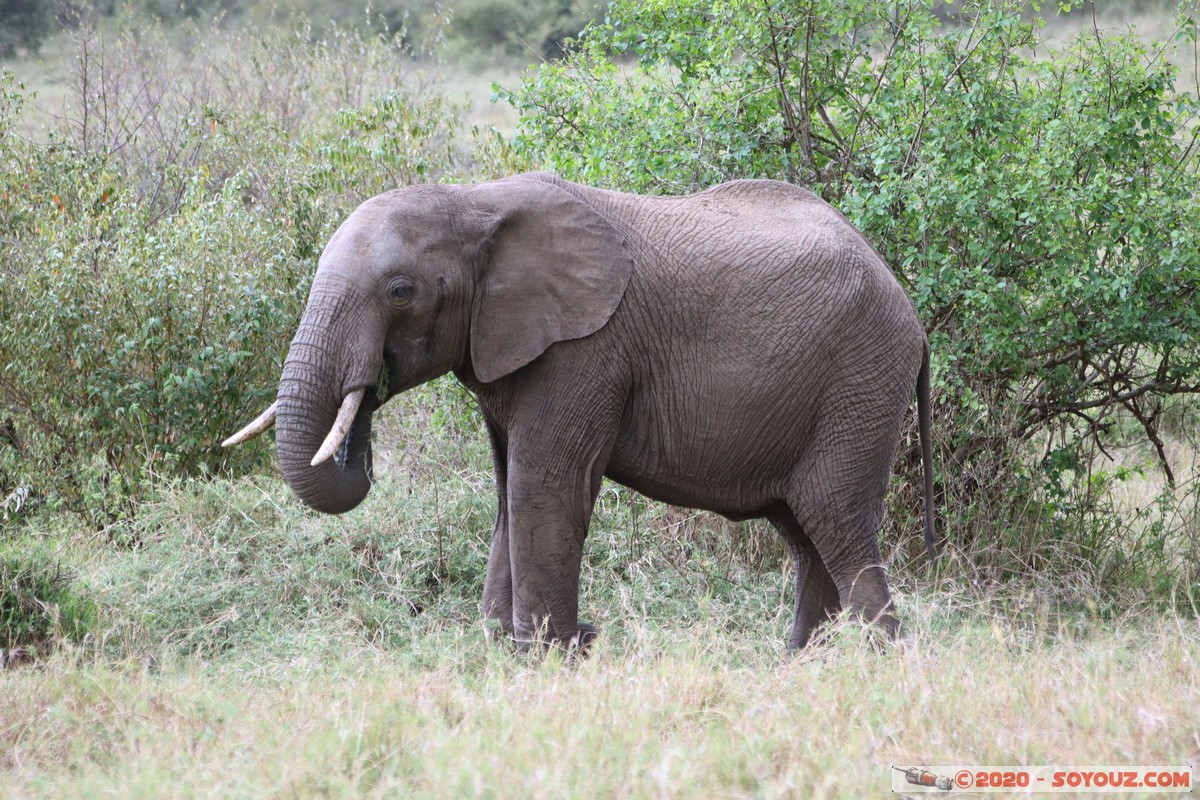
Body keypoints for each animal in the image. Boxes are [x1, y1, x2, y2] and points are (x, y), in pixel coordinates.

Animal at [226, 170, 936, 652]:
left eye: (401, 291)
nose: (367, 385)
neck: (473, 200)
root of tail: (911, 310)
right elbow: (509, 492)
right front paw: (504, 646)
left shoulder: (585, 351)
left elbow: (544, 486)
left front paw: (548, 654)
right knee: (805, 531)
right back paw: (803, 662)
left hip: (861, 378)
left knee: (834, 516)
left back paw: (879, 662)